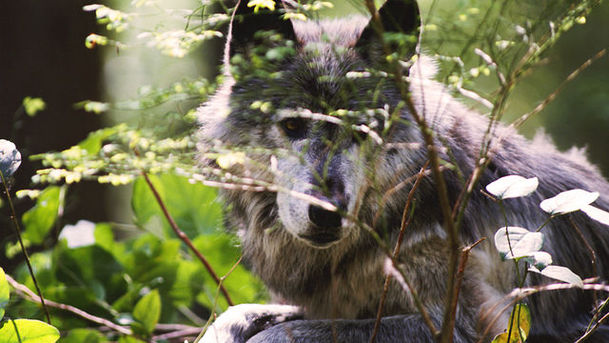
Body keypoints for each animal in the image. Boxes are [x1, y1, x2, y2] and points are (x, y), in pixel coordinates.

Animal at [197, 1, 608, 342]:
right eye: (293, 125)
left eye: (363, 130)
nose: (327, 213)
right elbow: (233, 316)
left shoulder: (471, 321)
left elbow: (281, 334)